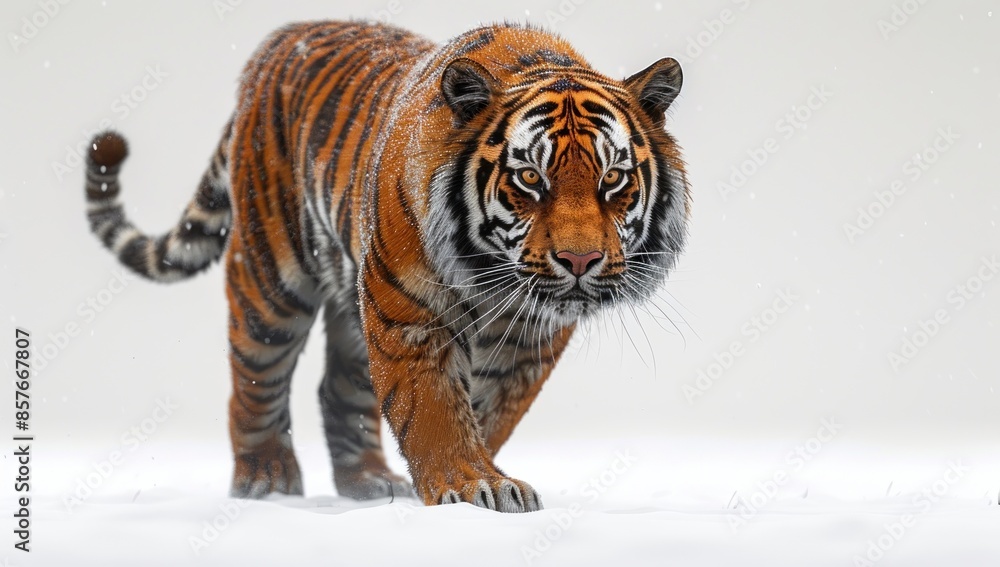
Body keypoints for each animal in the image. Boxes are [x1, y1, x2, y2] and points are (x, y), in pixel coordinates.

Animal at [83, 20, 689, 512]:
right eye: (530, 179)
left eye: (613, 179)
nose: (580, 260)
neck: (494, 280)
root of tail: (275, 44)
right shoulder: (410, 314)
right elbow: (436, 408)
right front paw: (474, 486)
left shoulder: (529, 342)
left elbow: (489, 412)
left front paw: (471, 473)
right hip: (272, 282)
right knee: (255, 376)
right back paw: (266, 480)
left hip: (352, 301)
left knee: (339, 388)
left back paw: (369, 482)